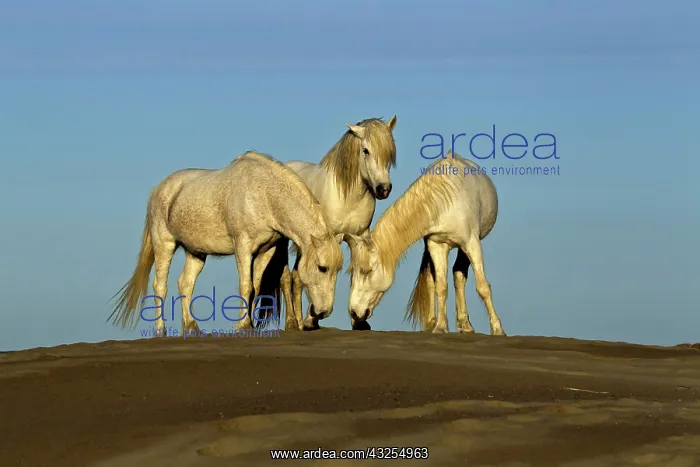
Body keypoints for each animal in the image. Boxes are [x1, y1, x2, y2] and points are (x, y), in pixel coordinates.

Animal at [108, 151, 344, 336]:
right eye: (322, 268)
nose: (323, 312)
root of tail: (158, 190)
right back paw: (160, 330)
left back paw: (191, 327)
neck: (263, 195)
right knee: (160, 285)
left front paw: (248, 324)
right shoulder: (243, 248)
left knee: (185, 283)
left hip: (196, 253)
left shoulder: (265, 251)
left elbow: (255, 286)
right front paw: (242, 326)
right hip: (164, 244)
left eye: (337, 271)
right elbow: (245, 285)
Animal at [258, 115, 398, 331]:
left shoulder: (358, 238)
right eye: (365, 150)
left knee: (297, 277)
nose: (384, 189)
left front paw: (359, 321)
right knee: (287, 277)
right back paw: (293, 322)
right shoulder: (327, 240)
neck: (348, 197)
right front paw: (312, 318)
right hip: (282, 241)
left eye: (389, 153)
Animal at [343, 151, 507, 336]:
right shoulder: (437, 245)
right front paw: (440, 326)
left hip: (464, 247)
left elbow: (483, 286)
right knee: (435, 279)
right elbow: (441, 286)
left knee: (459, 276)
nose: (354, 312)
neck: (444, 202)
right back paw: (441, 323)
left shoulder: (472, 243)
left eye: (366, 271)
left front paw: (498, 328)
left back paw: (465, 325)